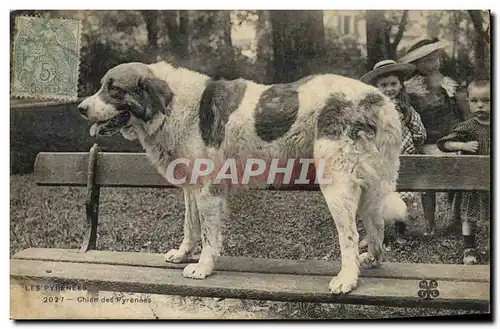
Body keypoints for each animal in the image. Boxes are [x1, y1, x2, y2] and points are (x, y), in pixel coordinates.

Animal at [78, 60, 406, 292]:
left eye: (114, 89)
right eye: (102, 86)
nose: (80, 108)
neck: (170, 107)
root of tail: (377, 98)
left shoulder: (209, 192)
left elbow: (209, 235)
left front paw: (202, 268)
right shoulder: (192, 189)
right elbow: (190, 227)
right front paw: (183, 254)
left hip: (337, 184)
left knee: (349, 236)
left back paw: (347, 279)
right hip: (369, 187)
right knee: (376, 226)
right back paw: (370, 261)